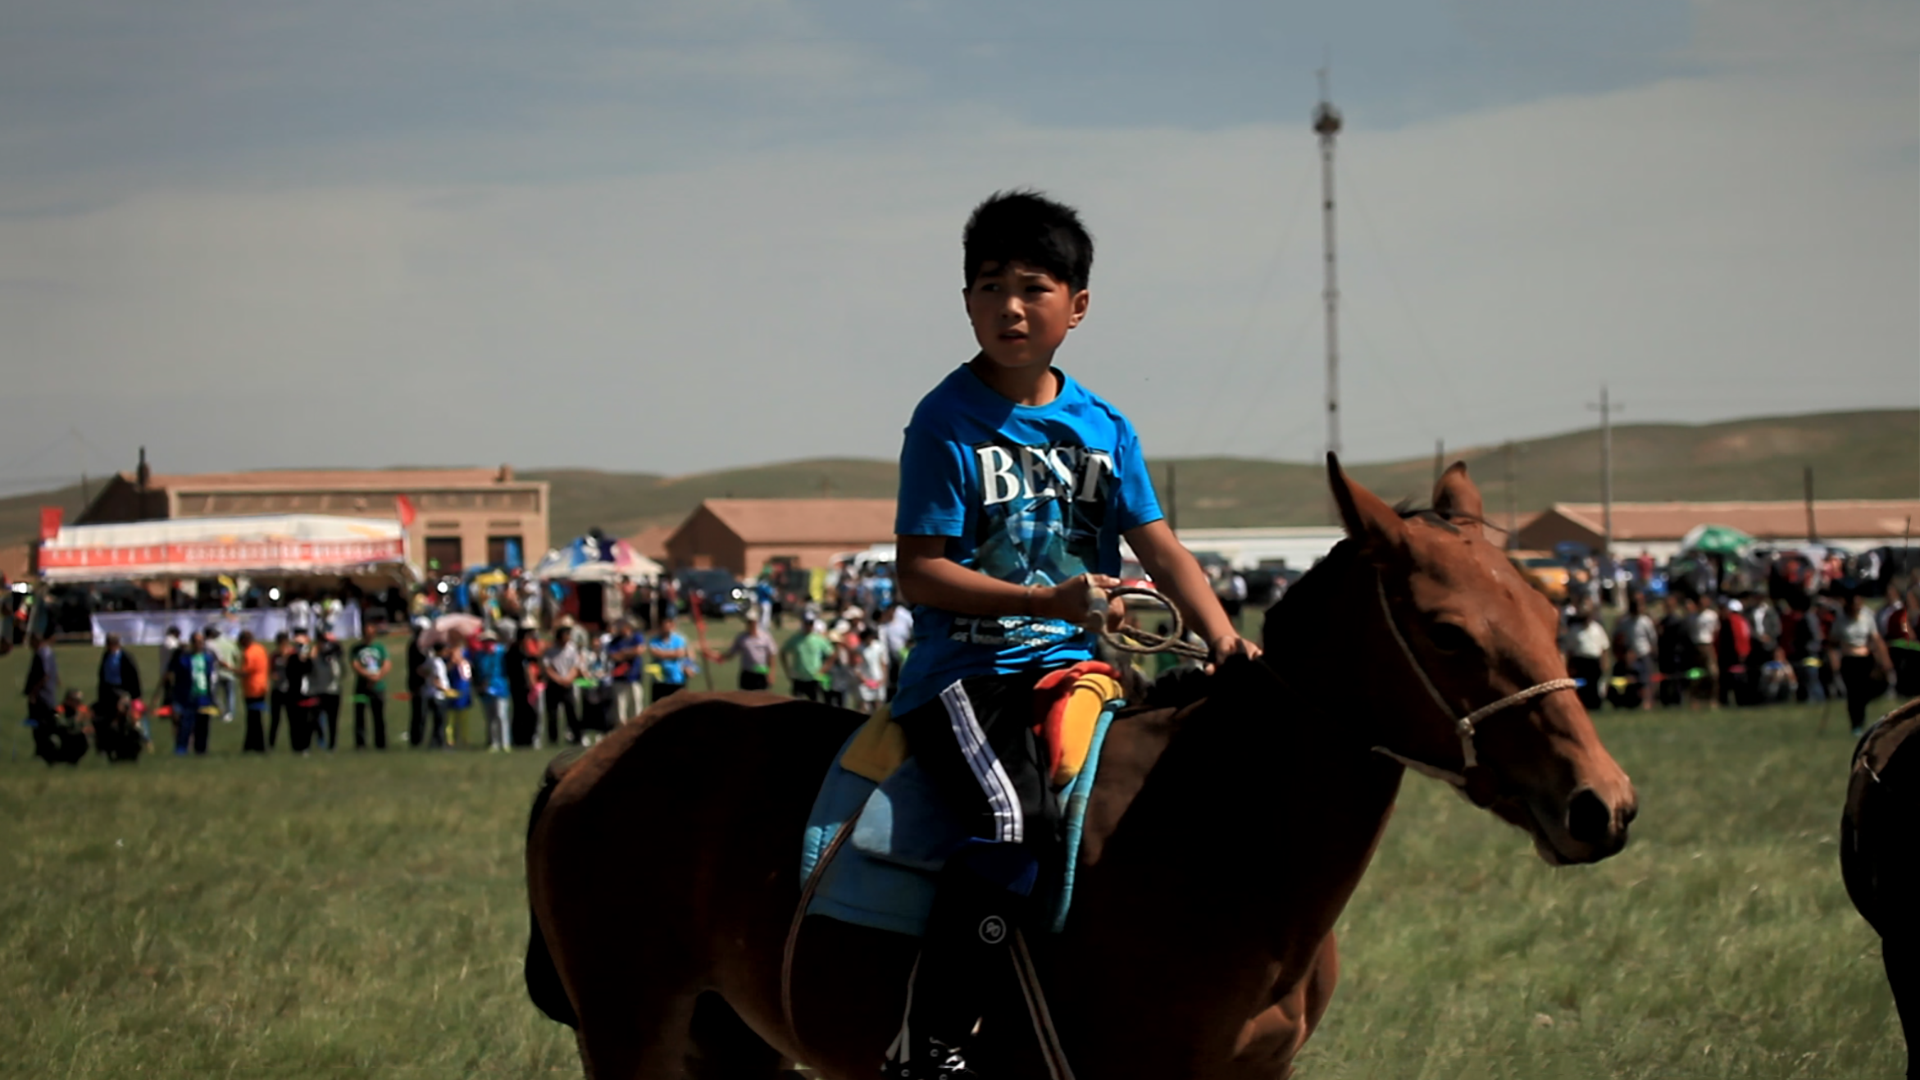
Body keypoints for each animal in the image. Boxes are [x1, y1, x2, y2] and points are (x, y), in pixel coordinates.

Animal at [526, 457, 1635, 1068]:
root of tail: (589, 762)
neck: (1218, 835)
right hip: (631, 1036)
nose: (1603, 804)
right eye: (1449, 634)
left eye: (1546, 612)